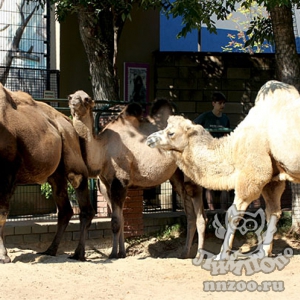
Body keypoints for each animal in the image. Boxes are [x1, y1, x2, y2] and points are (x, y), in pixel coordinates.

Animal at [0, 84, 95, 262]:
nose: (73, 100)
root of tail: (67, 121)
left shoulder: (8, 171)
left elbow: (1, 213)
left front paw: (3, 256)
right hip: (55, 174)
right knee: (65, 209)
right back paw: (50, 250)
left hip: (73, 156)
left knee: (83, 199)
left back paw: (78, 254)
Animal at [68, 91, 206, 258]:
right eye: (70, 96)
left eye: (86, 99)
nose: (74, 103)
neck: (103, 150)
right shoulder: (105, 185)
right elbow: (121, 219)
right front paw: (122, 253)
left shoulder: (120, 181)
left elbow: (116, 222)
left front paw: (113, 254)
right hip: (177, 176)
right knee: (190, 213)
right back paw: (184, 253)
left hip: (192, 174)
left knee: (200, 214)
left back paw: (199, 255)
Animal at [147, 81, 300, 262]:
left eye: (171, 133)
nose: (149, 139)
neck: (233, 148)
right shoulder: (272, 179)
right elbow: (273, 212)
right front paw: (263, 252)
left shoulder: (252, 176)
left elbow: (232, 213)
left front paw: (221, 254)